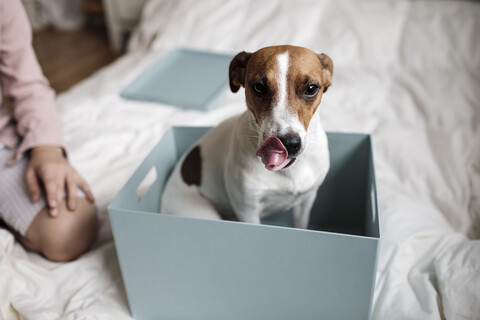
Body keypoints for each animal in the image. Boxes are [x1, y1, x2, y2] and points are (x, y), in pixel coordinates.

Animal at [161, 46, 334, 229]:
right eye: (259, 87)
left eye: (311, 88)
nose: (288, 143)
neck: (288, 172)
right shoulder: (248, 211)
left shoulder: (306, 201)